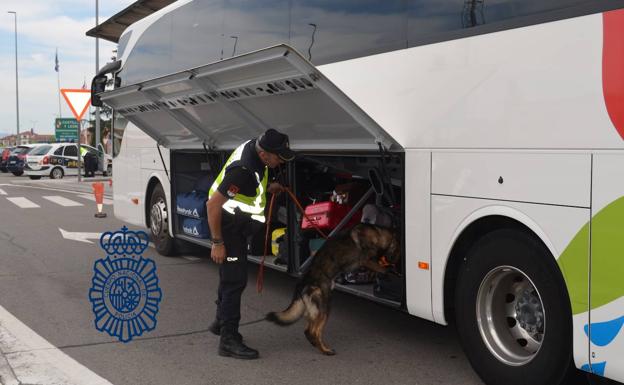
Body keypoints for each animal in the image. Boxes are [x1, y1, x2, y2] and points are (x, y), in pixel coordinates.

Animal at [266, 222, 398, 354]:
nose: (395, 263)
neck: (378, 233)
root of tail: (303, 282)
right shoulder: (366, 260)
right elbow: (383, 269)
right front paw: (390, 273)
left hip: (314, 310)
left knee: (308, 331)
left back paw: (317, 345)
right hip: (325, 307)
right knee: (313, 331)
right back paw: (326, 351)